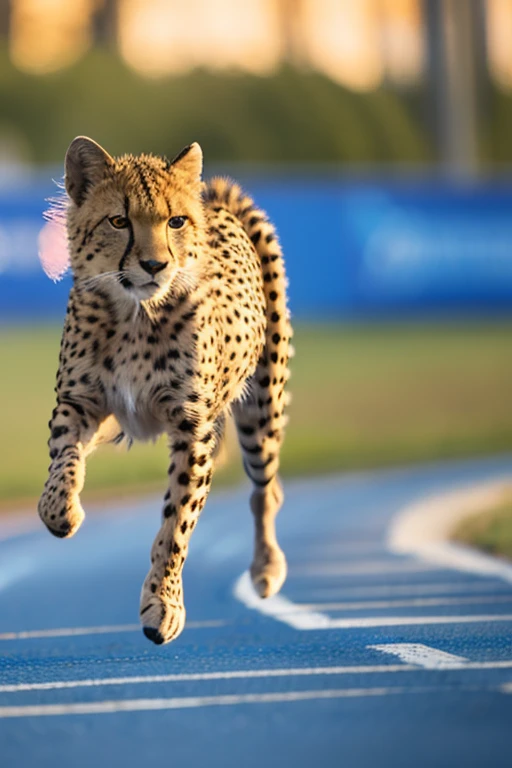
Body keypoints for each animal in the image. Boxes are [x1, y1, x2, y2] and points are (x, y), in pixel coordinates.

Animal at [37, 136, 292, 640]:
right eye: (119, 221)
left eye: (175, 221)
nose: (155, 265)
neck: (136, 312)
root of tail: (218, 200)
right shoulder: (79, 402)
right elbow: (64, 462)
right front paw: (60, 511)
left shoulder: (193, 429)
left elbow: (176, 523)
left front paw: (163, 603)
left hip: (261, 411)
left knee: (267, 489)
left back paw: (266, 569)